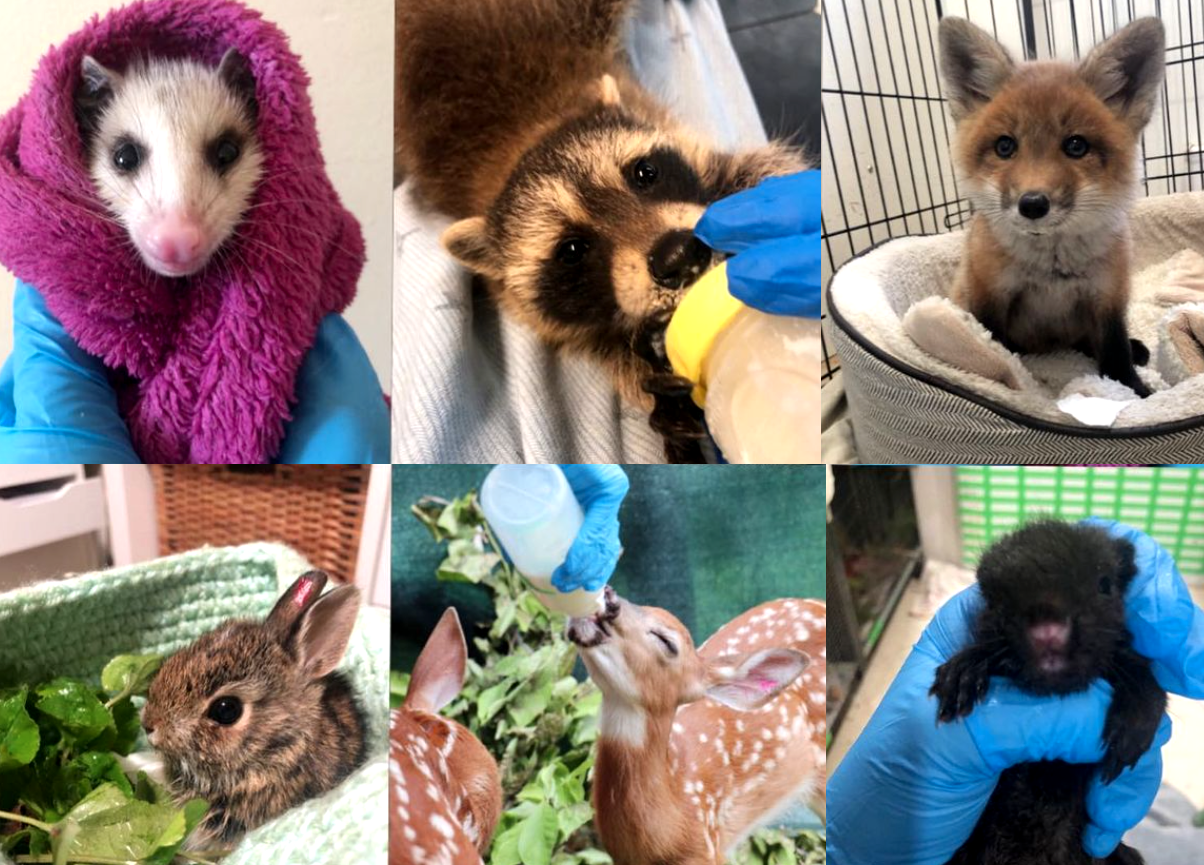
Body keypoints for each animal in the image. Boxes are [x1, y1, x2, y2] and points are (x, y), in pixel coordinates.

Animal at [396, 0, 807, 461]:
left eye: (645, 173)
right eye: (572, 250)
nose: (678, 255)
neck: (529, 138)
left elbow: (757, 170)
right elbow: (610, 347)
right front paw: (650, 380)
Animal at [938, 16, 1166, 397]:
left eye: (1076, 145)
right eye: (1004, 146)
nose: (1032, 203)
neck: (1052, 271)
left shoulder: (1108, 295)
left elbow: (1116, 350)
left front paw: (1135, 391)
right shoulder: (988, 294)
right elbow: (995, 347)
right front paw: (1016, 381)